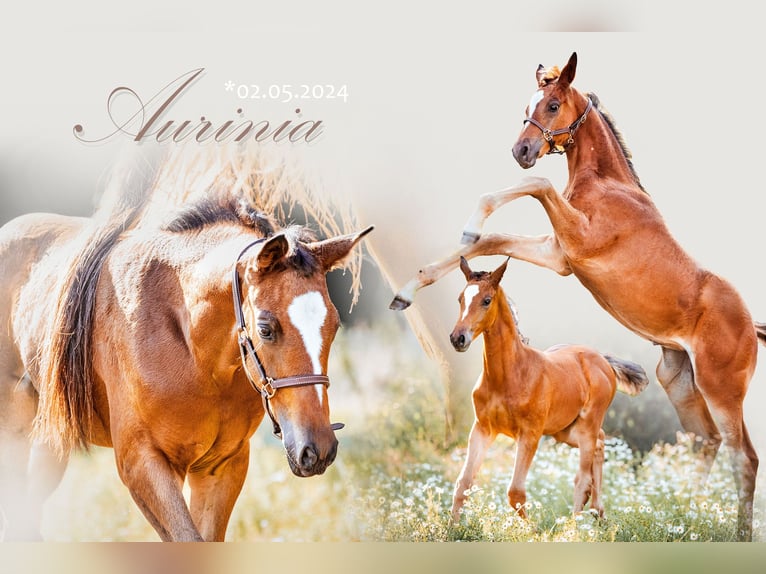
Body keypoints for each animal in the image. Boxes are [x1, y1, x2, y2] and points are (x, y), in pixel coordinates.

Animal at [0, 147, 372, 541]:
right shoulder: (143, 463)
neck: (197, 356)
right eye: (266, 329)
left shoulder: (222, 465)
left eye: (333, 326)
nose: (318, 449)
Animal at [449, 256, 648, 522]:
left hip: (585, 426)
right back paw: (597, 511)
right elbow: (463, 483)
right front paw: (453, 527)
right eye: (460, 298)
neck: (510, 375)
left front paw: (531, 529)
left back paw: (575, 525)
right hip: (563, 431)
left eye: (486, 300)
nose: (458, 338)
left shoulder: (530, 434)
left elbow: (515, 492)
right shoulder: (482, 429)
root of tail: (603, 360)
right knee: (600, 442)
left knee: (582, 476)